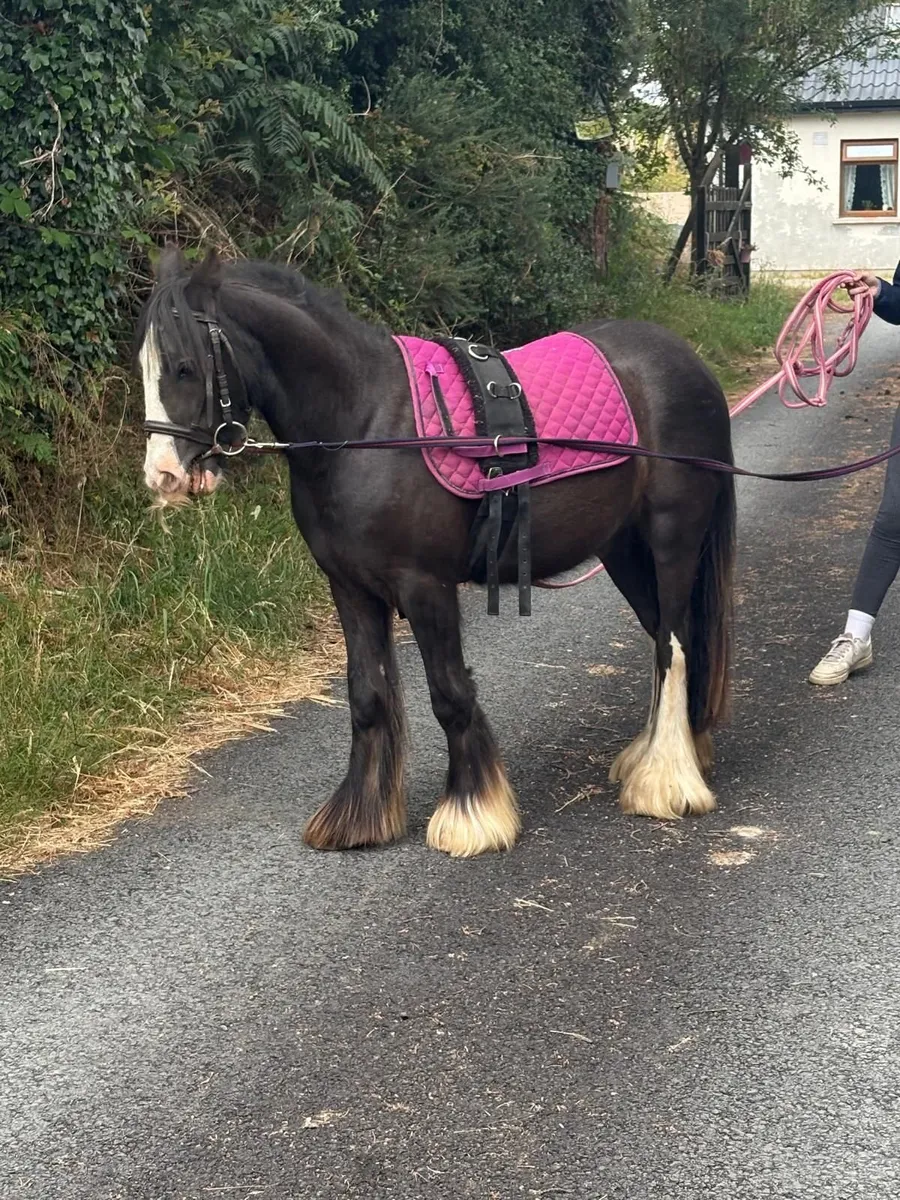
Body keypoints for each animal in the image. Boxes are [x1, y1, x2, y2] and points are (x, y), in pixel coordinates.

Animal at [137, 246, 735, 857]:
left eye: (184, 367)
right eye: (144, 366)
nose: (162, 476)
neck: (365, 425)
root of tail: (688, 362)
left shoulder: (425, 587)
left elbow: (449, 694)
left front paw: (472, 814)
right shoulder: (350, 588)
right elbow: (367, 696)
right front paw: (358, 818)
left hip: (671, 541)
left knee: (673, 646)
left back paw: (665, 782)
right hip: (623, 550)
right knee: (665, 639)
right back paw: (665, 755)